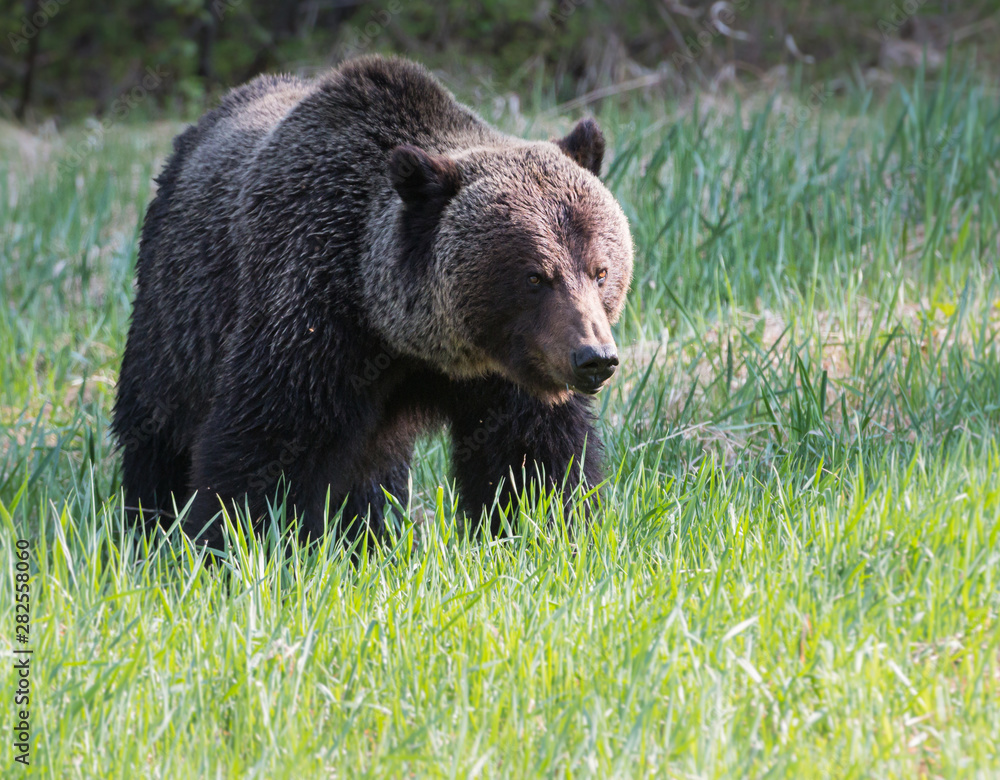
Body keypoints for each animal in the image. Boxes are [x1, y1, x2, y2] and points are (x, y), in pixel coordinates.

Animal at [112, 55, 634, 546]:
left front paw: (547, 528)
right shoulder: (312, 316)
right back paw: (146, 523)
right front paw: (230, 541)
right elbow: (265, 443)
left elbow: (533, 458)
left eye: (601, 271)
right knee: (155, 427)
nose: (595, 357)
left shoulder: (511, 372)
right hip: (179, 308)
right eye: (534, 277)